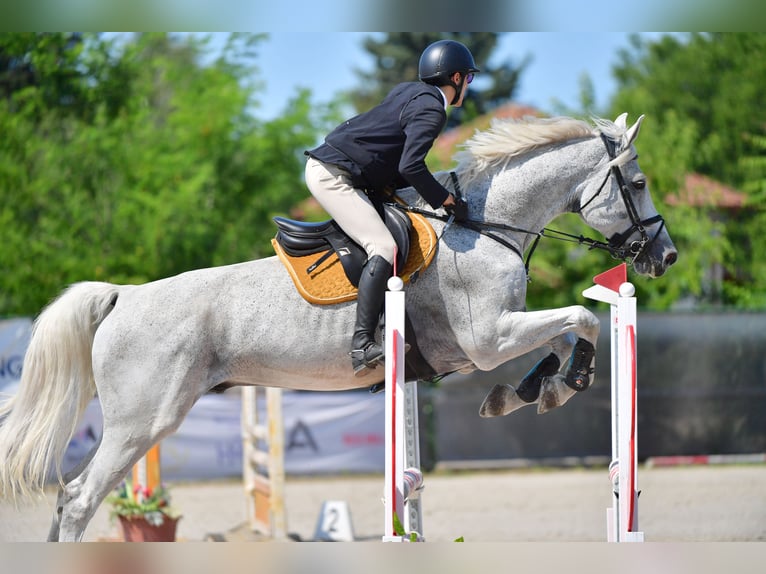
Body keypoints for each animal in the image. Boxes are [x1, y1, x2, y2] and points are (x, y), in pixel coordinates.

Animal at [0, 113, 676, 544]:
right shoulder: (488, 339)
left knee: (70, 498)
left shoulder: (499, 334)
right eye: (640, 183)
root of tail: (125, 296)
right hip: (143, 422)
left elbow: (567, 331)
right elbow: (582, 318)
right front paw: (555, 384)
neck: (486, 227)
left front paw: (535, 389)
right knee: (79, 500)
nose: (664, 256)